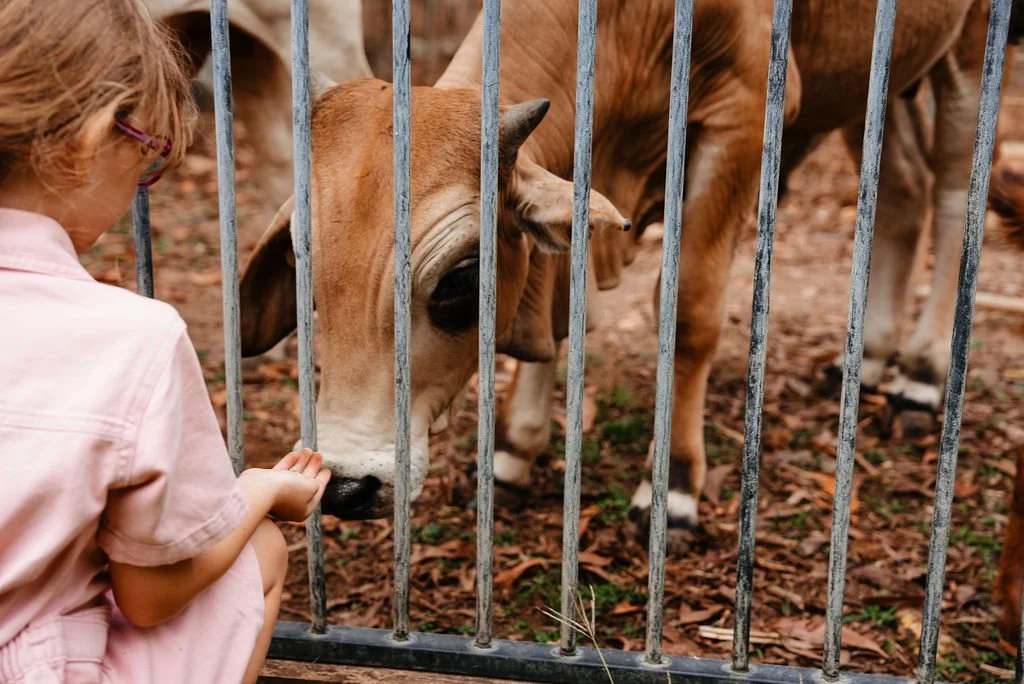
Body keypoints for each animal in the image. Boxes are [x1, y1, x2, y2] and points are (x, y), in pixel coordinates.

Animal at [236, 0, 1017, 546]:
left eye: (459, 279)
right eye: (305, 274)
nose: (347, 487)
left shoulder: (743, 114)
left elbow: (690, 310)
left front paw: (673, 486)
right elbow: (563, 310)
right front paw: (512, 453)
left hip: (968, 53)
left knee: (955, 196)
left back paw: (921, 375)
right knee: (903, 193)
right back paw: (873, 358)